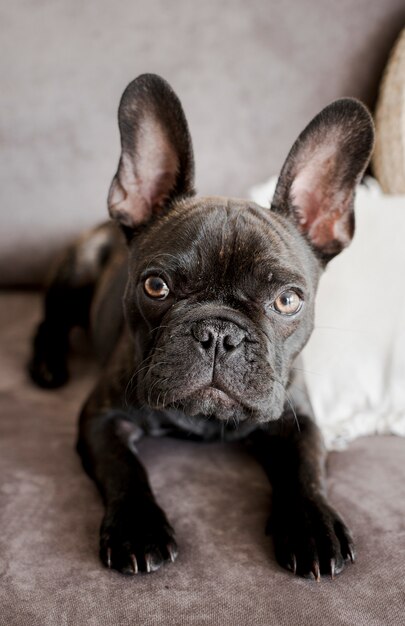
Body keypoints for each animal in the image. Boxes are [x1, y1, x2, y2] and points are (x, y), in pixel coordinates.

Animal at [29, 75, 372, 576]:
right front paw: (138, 529)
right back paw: (47, 366)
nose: (219, 333)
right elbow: (124, 468)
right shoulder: (102, 417)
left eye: (287, 300)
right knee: (50, 322)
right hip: (78, 267)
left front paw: (314, 525)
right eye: (156, 286)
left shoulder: (300, 419)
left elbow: (307, 468)